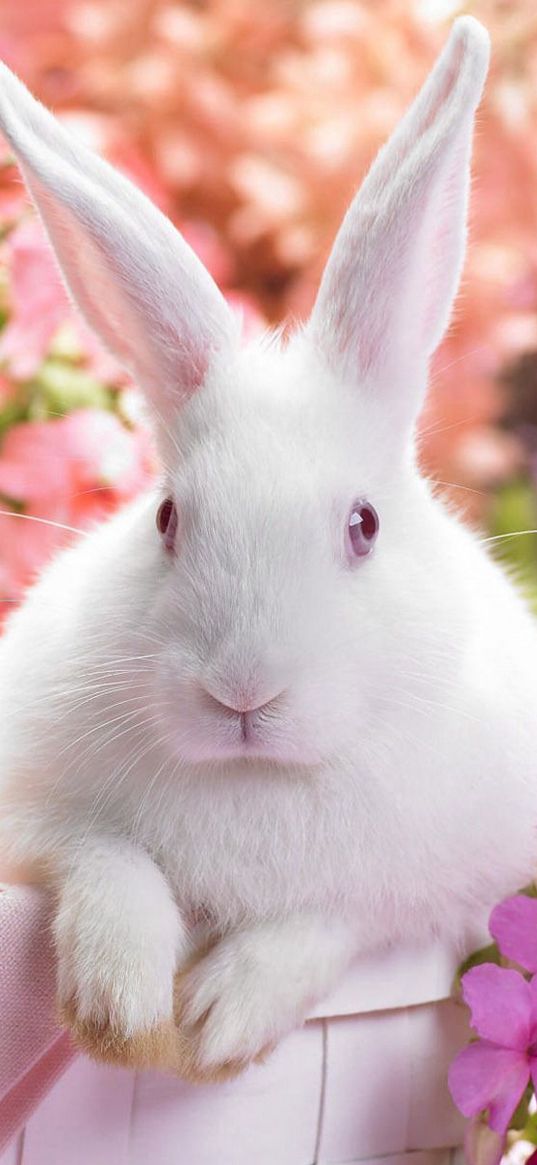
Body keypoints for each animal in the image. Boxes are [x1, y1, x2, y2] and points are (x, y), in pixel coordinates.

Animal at [0, 13, 531, 1076]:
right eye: (167, 517)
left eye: (364, 525)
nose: (242, 693)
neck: (256, 779)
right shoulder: (27, 814)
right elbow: (102, 852)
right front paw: (122, 1008)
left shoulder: (450, 888)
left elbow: (331, 919)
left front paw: (218, 1019)